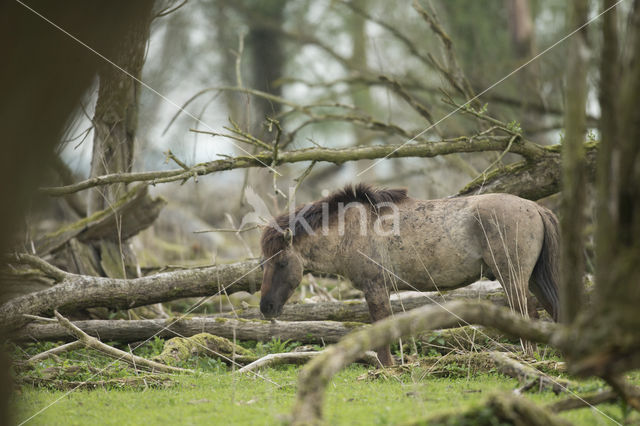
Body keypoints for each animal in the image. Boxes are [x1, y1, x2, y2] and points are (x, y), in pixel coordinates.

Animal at [258, 183, 556, 366]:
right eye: (263, 264)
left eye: (281, 262)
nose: (266, 308)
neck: (351, 231)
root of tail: (534, 207)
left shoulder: (375, 288)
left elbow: (381, 328)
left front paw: (387, 369)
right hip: (532, 281)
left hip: (513, 279)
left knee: (527, 315)